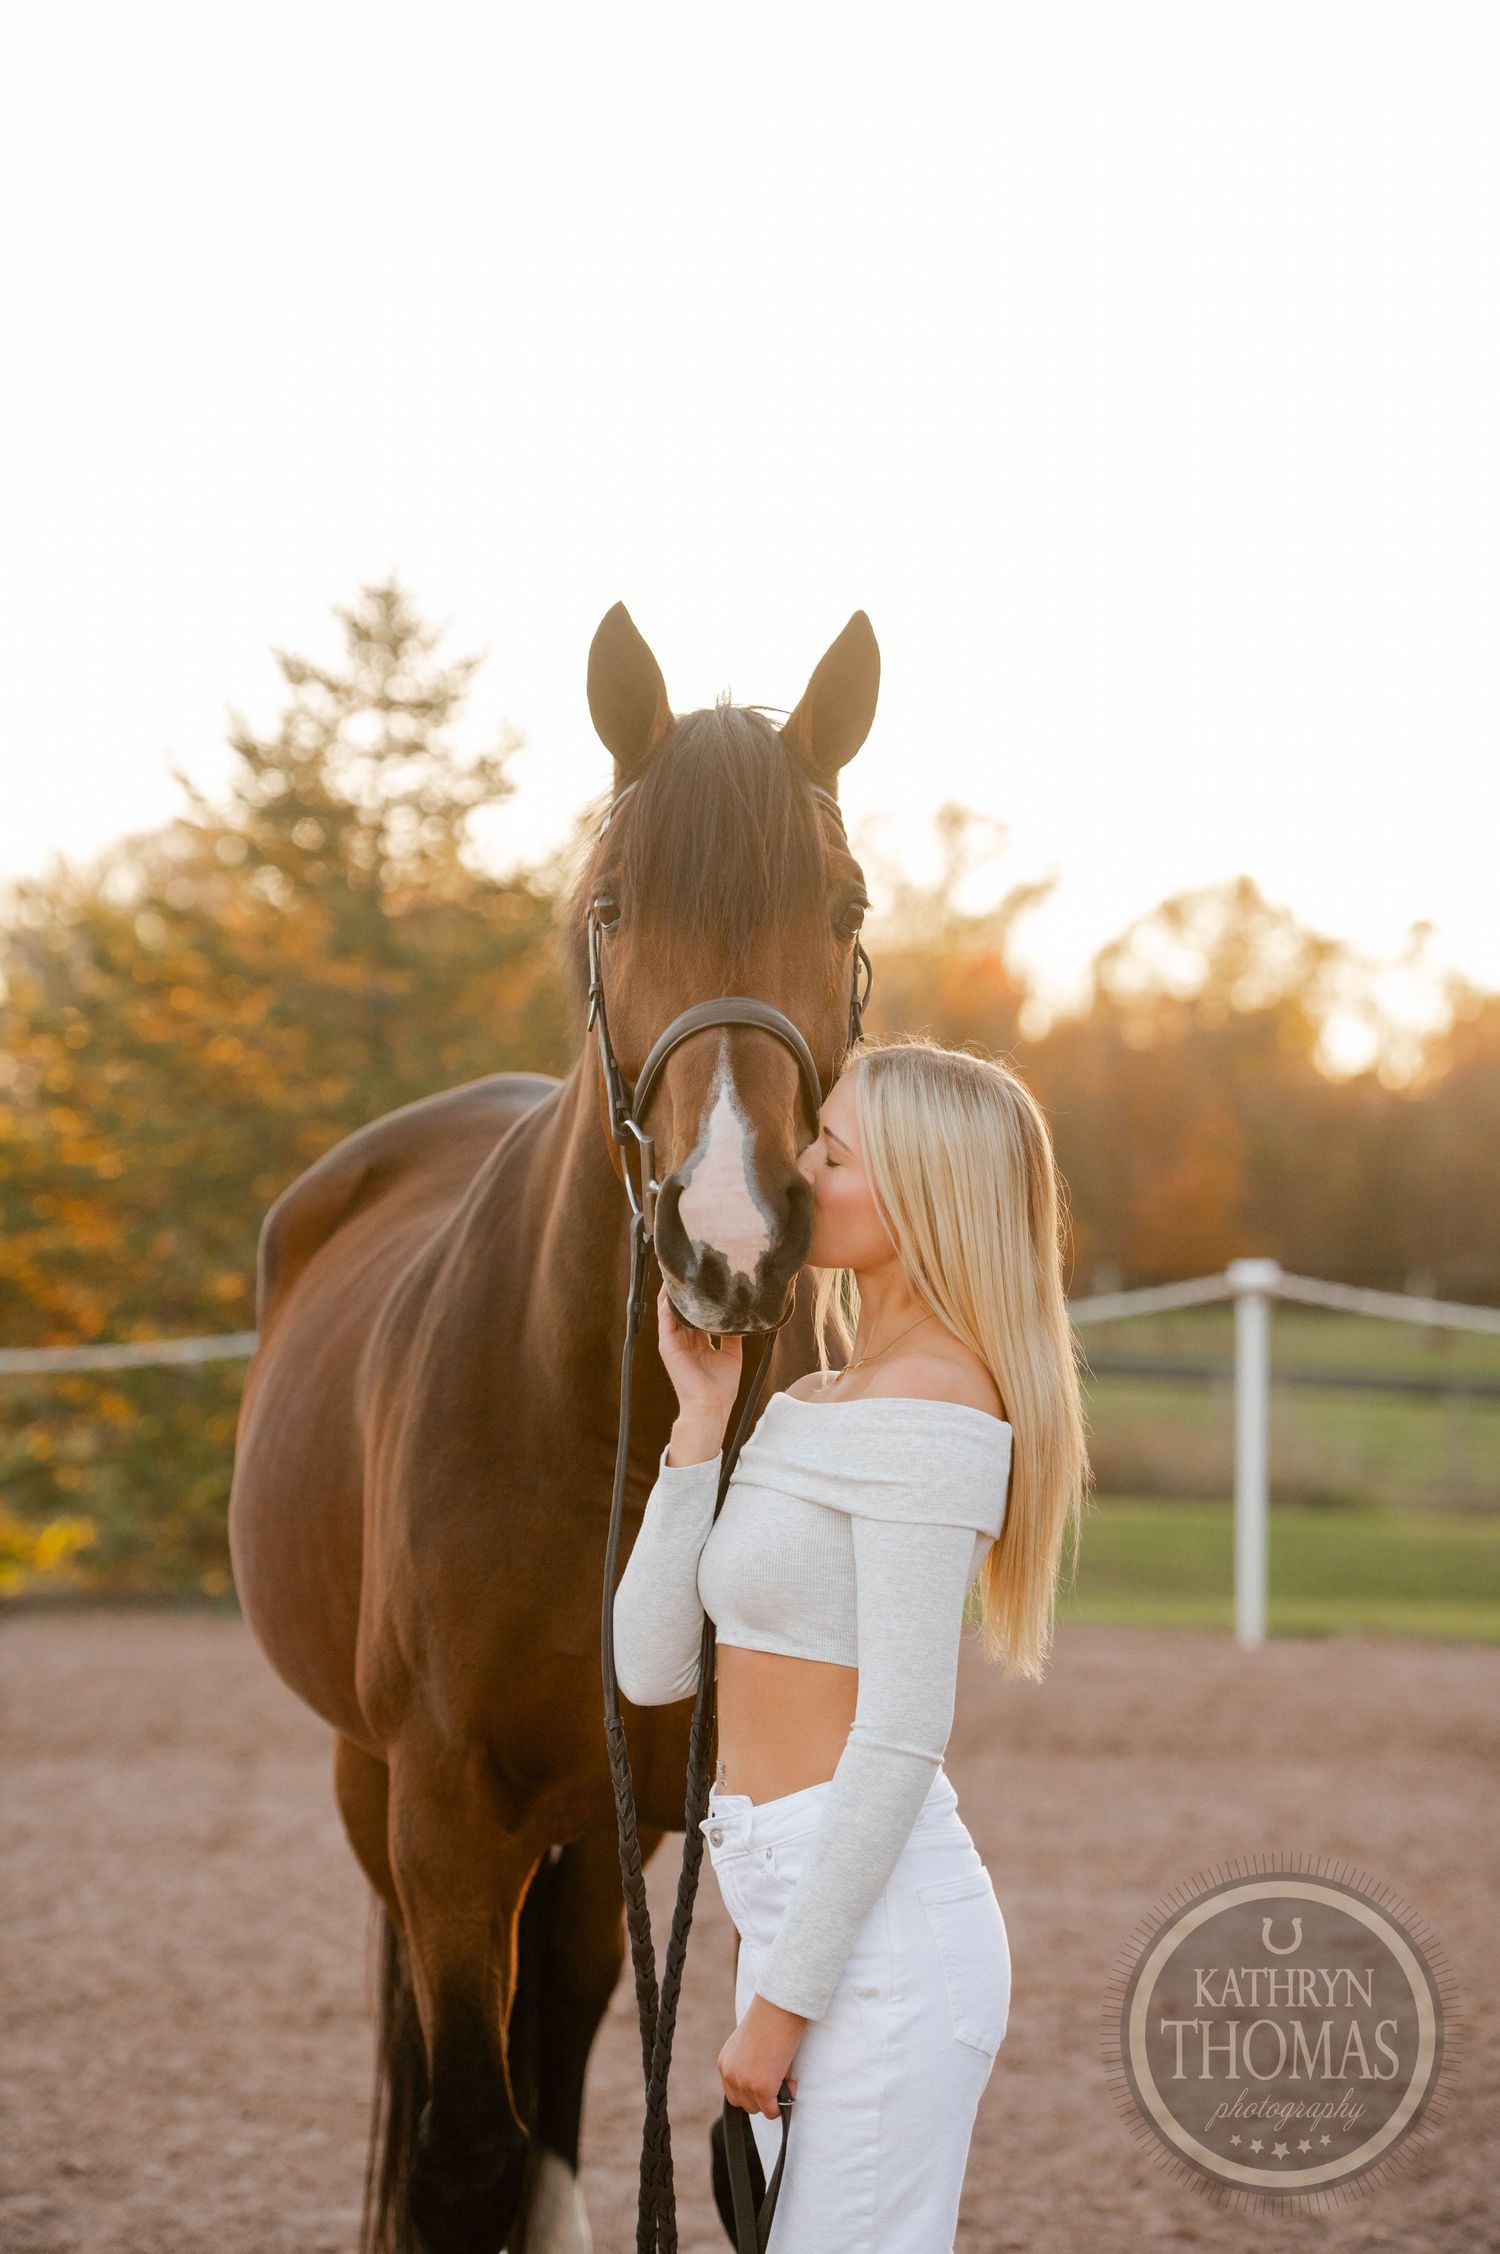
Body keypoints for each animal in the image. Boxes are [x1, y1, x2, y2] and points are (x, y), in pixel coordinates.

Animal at [227, 598, 880, 2254]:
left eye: (844, 904)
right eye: (611, 904)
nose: (730, 1240)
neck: (602, 1435)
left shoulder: (689, 1805)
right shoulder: (448, 1817)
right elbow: (465, 2146)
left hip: (595, 1831)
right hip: (383, 1788)